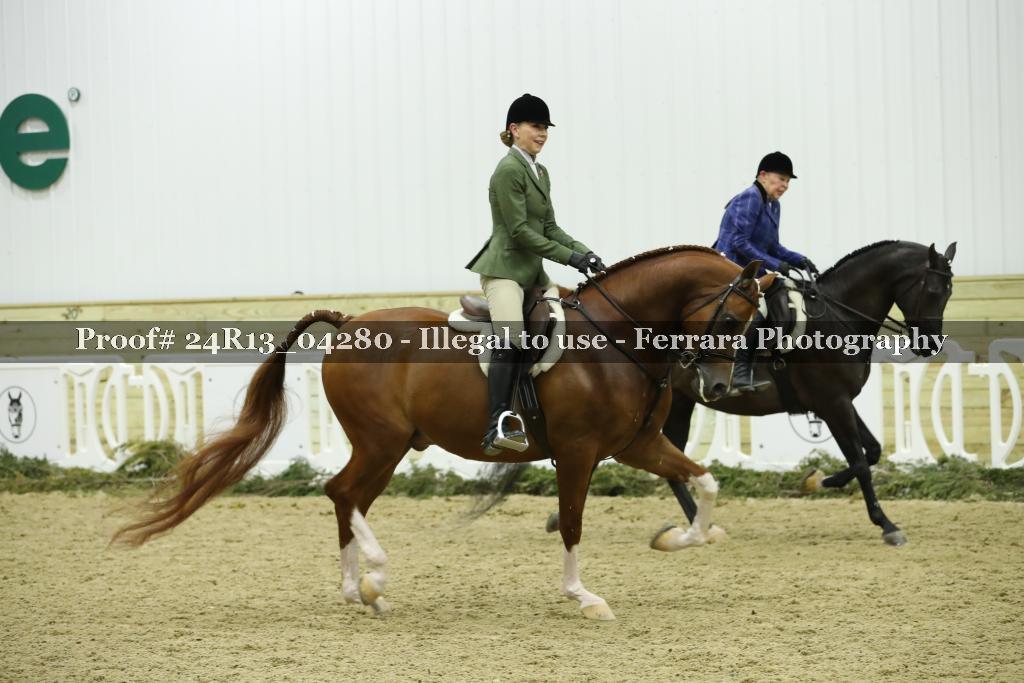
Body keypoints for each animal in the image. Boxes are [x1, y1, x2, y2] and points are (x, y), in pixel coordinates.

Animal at [113, 246, 774, 621]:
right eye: (733, 315)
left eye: (754, 321)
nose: (719, 388)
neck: (614, 337)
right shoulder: (579, 452)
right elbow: (573, 523)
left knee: (348, 497)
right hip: (380, 441)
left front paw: (679, 540)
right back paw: (374, 578)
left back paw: (359, 592)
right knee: (341, 492)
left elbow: (706, 484)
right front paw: (582, 597)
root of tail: (348, 322)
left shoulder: (636, 445)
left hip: (389, 447)